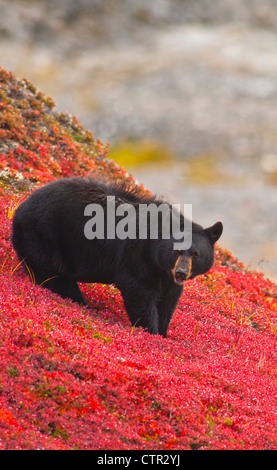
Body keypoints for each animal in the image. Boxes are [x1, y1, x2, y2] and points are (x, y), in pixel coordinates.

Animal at [11, 177, 222, 338]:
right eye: (176, 251)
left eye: (196, 254)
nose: (181, 272)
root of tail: (20, 207)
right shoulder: (137, 256)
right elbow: (140, 292)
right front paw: (151, 331)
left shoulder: (167, 277)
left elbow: (168, 301)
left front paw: (163, 332)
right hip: (45, 238)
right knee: (56, 277)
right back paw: (84, 304)